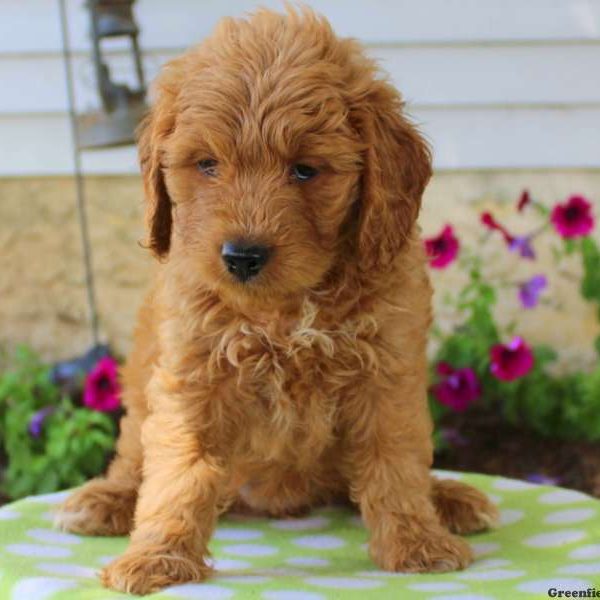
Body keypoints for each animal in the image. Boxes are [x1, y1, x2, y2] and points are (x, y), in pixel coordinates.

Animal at [56, 7, 496, 592]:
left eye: (305, 169)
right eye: (207, 165)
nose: (242, 256)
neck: (283, 310)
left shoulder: (386, 371)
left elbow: (395, 459)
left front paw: (416, 542)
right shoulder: (191, 374)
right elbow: (178, 470)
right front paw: (157, 556)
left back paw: (448, 498)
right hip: (140, 381)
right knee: (133, 457)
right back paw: (105, 500)